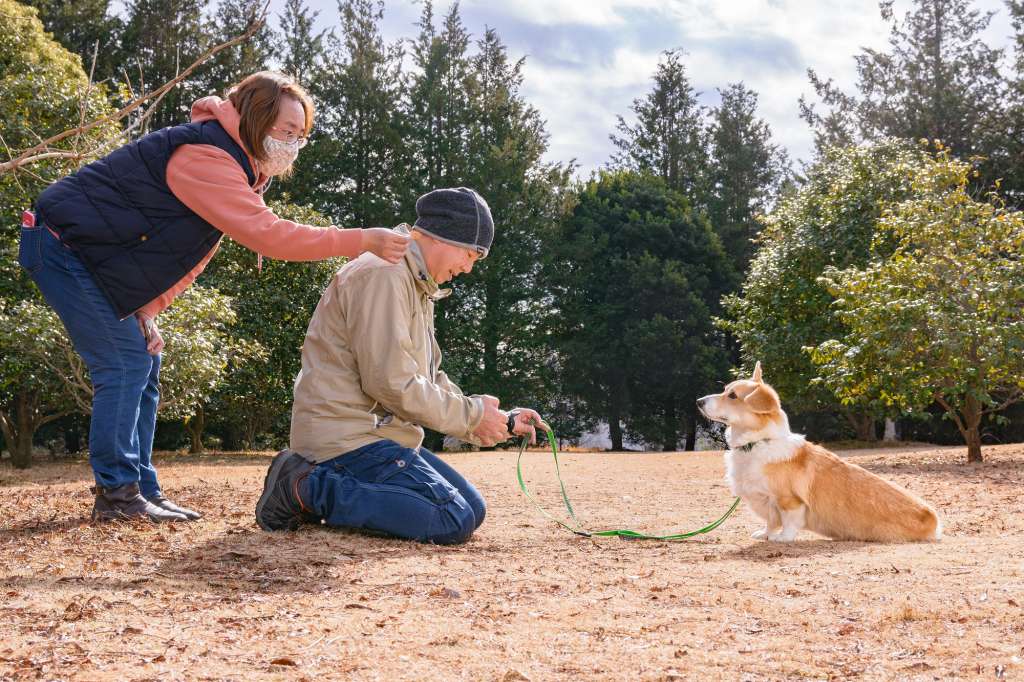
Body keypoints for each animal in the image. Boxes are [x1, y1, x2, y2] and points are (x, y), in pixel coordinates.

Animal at [700, 360, 937, 540]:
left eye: (732, 395)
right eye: (724, 390)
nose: (698, 401)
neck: (758, 443)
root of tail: (934, 522)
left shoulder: (789, 501)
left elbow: (788, 522)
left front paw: (781, 539)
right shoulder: (767, 504)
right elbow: (770, 521)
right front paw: (764, 534)